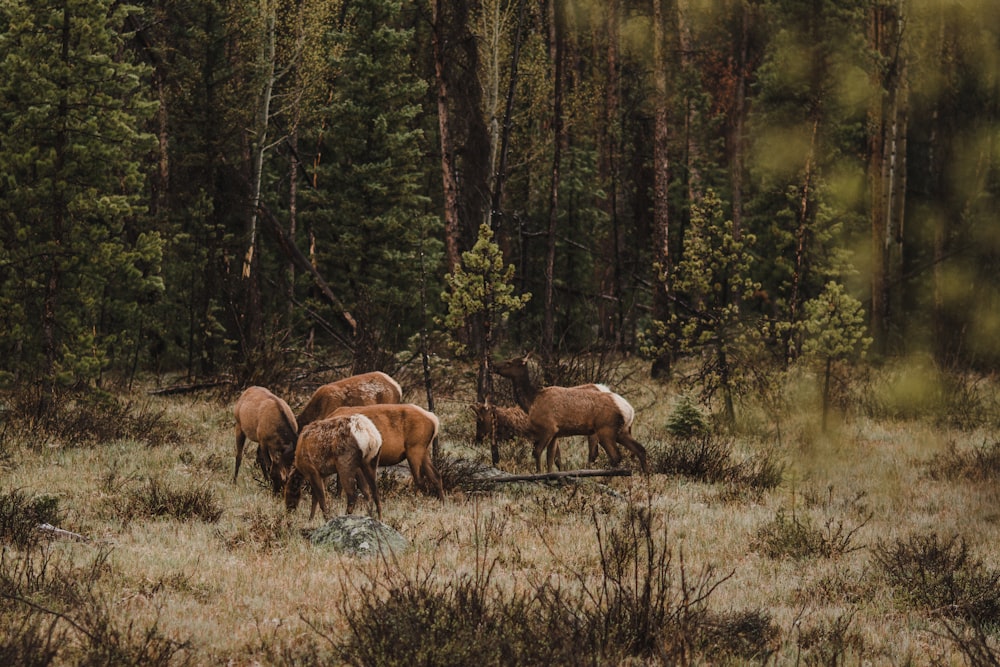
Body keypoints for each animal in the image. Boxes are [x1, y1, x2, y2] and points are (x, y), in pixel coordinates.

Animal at [492, 354, 648, 474]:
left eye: (509, 362)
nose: (494, 366)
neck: (531, 403)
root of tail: (629, 409)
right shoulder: (556, 433)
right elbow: (551, 458)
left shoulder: (549, 428)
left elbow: (537, 452)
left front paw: (538, 473)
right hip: (622, 431)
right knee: (640, 450)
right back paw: (645, 476)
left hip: (605, 430)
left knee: (614, 457)